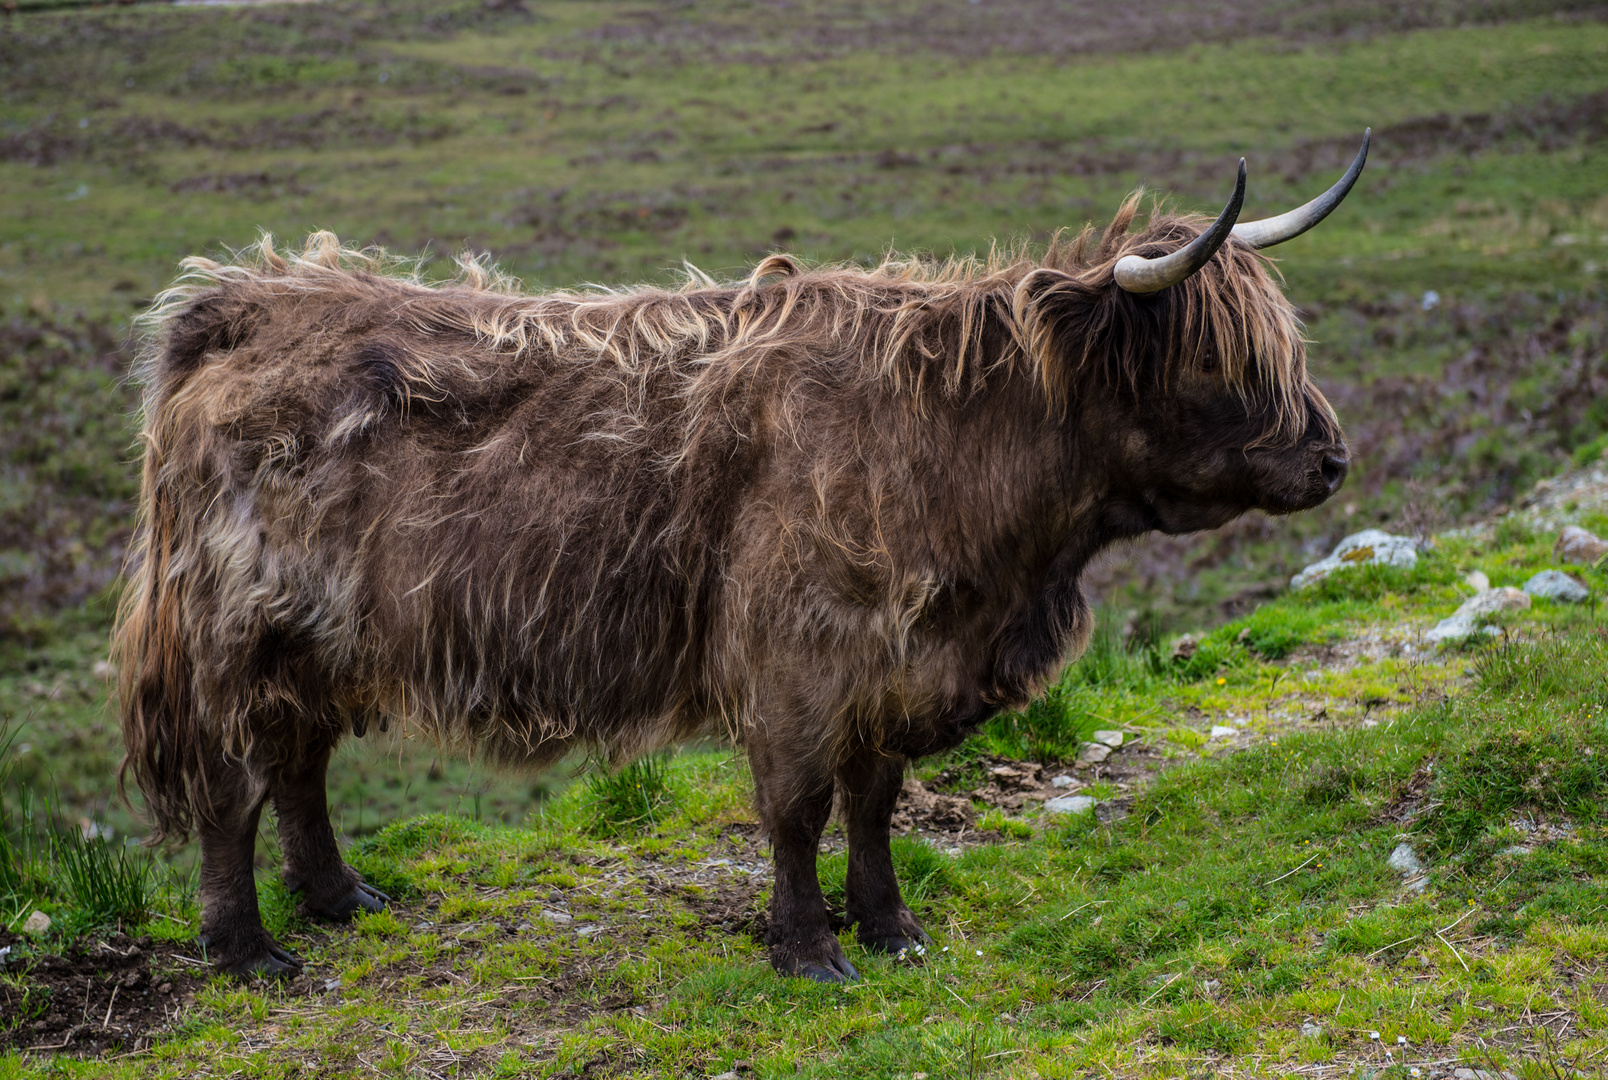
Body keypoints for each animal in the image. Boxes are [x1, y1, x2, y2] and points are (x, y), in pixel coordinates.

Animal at [116, 132, 1370, 977]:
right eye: (1215, 360)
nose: (1331, 459)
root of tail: (246, 296)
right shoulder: (798, 656)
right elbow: (799, 808)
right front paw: (809, 946)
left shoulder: (893, 665)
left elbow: (876, 800)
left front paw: (891, 926)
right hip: (235, 635)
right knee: (234, 785)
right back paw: (247, 947)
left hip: (315, 642)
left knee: (298, 765)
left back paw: (341, 898)